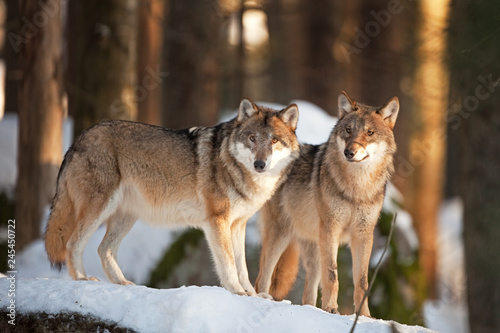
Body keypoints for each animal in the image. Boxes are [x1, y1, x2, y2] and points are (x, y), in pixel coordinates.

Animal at [45, 98, 298, 296]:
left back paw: (123, 283)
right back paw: (82, 279)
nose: (260, 164)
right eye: (252, 138)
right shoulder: (217, 221)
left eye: (274, 140)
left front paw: (252, 294)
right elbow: (228, 264)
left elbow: (242, 267)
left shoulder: (237, 225)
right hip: (99, 209)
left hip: (125, 217)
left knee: (103, 249)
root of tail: (79, 139)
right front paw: (237, 291)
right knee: (72, 244)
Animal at [256, 91, 400, 314]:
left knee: (308, 293)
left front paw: (365, 316)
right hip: (281, 236)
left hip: (314, 249)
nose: (349, 152)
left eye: (370, 133)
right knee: (262, 277)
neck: (356, 189)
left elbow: (362, 282)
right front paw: (332, 309)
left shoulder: (363, 235)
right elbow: (332, 275)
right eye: (348, 130)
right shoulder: (331, 229)